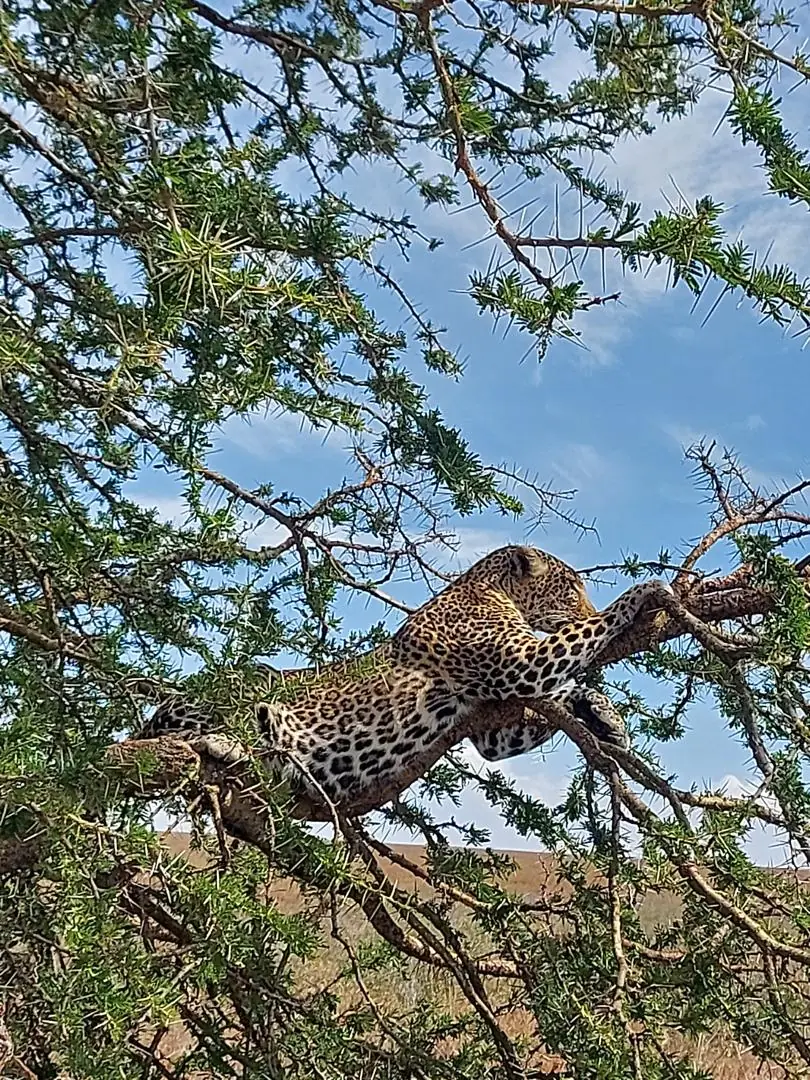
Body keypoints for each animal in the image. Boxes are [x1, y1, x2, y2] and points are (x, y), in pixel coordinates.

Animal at [131, 545, 677, 819]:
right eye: (569, 588)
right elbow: (585, 635)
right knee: (195, 733)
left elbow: (556, 702)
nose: (584, 603)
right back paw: (228, 743)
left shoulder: (492, 729)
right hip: (237, 685)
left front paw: (605, 718)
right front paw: (646, 591)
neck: (488, 587)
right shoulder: (521, 662)